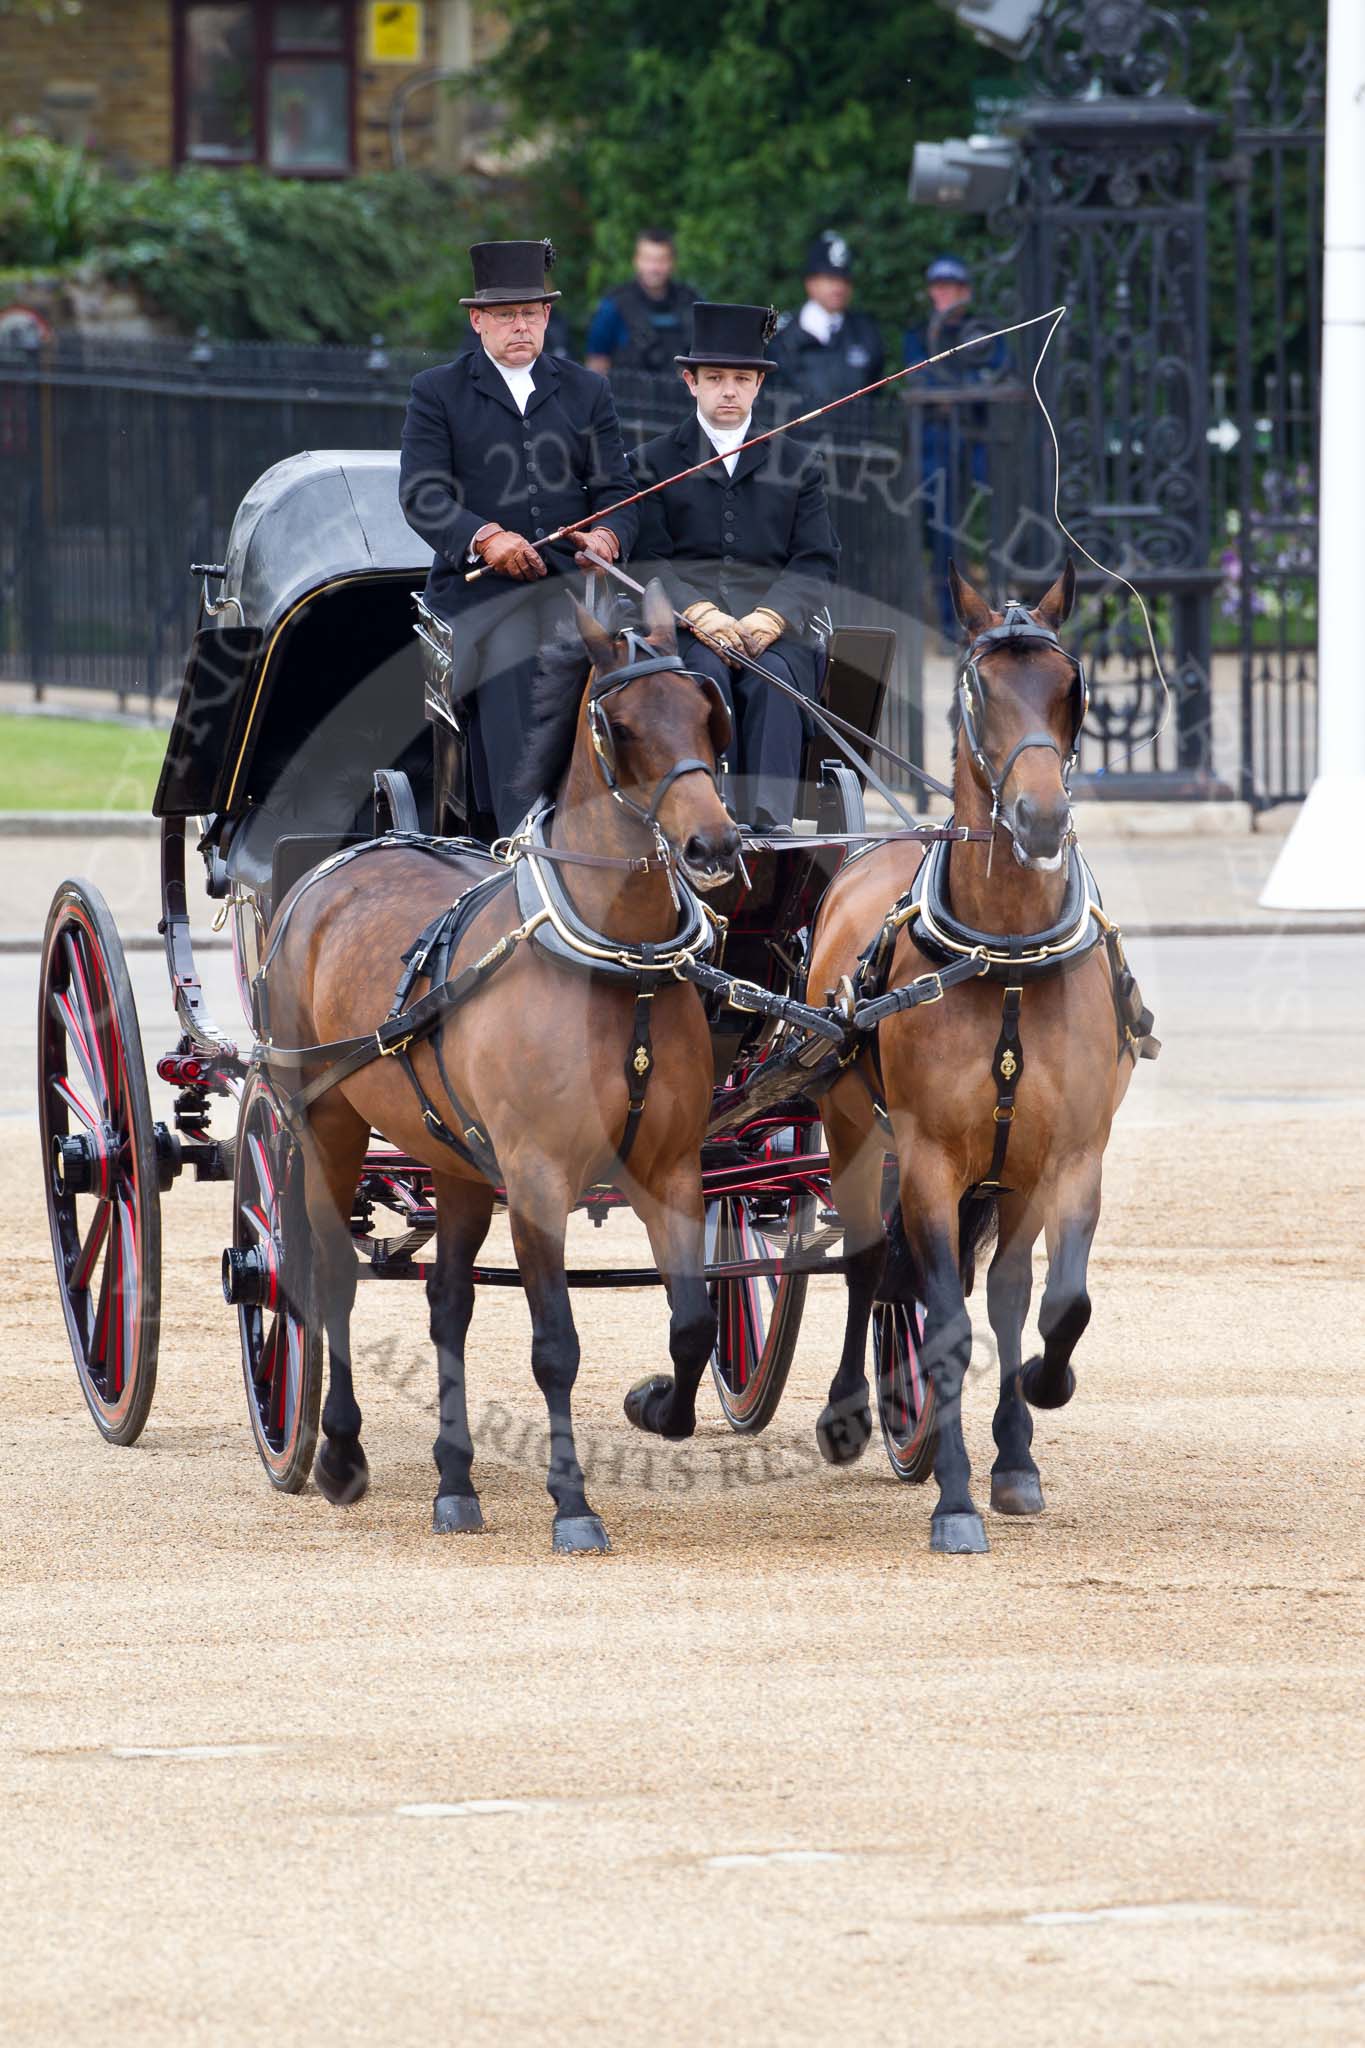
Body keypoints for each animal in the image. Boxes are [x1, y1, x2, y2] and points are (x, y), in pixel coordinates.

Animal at [261, 585, 740, 1556]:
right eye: (621, 725)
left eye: (708, 711)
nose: (713, 845)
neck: (616, 964)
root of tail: (339, 864)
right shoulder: (537, 1175)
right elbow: (555, 1344)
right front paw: (573, 1504)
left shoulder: (669, 1167)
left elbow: (693, 1324)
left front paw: (656, 1405)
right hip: (326, 1122)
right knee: (333, 1279)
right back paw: (339, 1454)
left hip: (451, 1156)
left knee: (448, 1301)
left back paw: (454, 1482)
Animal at [806, 561, 1162, 1548]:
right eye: (977, 688)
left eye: (1072, 687)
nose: (1039, 818)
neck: (1002, 957)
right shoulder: (928, 1161)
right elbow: (944, 1324)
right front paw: (956, 1500)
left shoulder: (1065, 1159)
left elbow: (1050, 1303)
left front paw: (1030, 1420)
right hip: (851, 1129)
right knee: (865, 1263)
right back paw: (850, 1411)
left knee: (997, 1291)